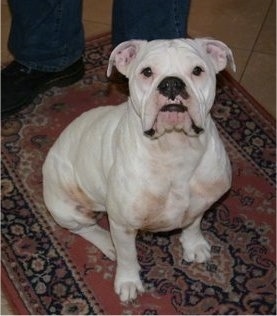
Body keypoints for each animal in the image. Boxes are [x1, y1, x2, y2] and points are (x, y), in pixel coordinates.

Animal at [42, 38, 234, 302]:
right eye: (147, 72)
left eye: (197, 70)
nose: (171, 83)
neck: (174, 147)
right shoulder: (122, 225)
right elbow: (127, 256)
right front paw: (128, 282)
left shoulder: (201, 202)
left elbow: (193, 223)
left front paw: (194, 245)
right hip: (66, 210)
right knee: (86, 228)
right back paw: (107, 242)